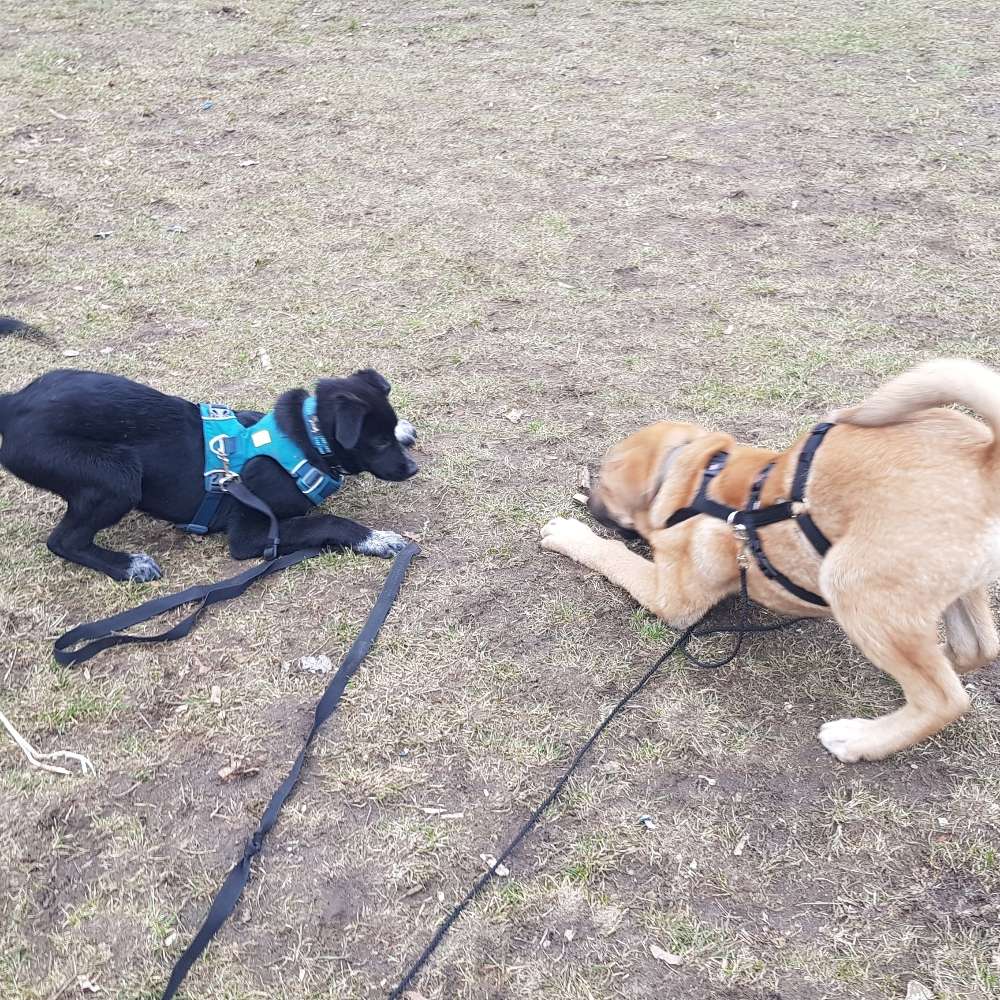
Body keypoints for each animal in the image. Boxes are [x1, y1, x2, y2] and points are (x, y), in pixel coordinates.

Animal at [0, 342, 418, 584]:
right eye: (377, 442)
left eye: (389, 431)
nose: (411, 469)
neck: (304, 438)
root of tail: (15, 402)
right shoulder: (251, 534)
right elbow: (326, 521)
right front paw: (375, 538)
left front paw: (407, 430)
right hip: (118, 476)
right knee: (63, 540)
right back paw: (128, 566)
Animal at [544, 364, 1000, 760]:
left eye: (604, 482)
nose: (589, 497)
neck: (696, 483)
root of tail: (986, 458)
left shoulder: (673, 598)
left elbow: (614, 553)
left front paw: (570, 534)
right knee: (976, 647)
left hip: (852, 581)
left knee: (943, 698)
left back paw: (859, 739)